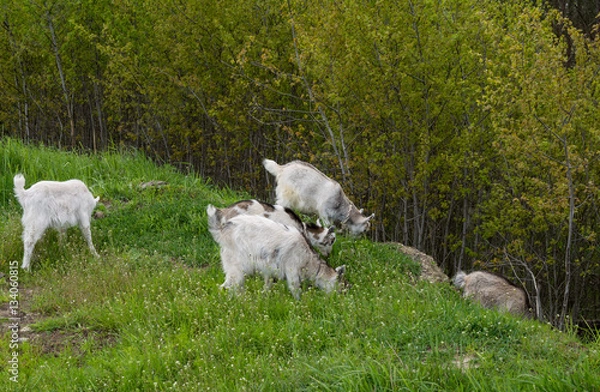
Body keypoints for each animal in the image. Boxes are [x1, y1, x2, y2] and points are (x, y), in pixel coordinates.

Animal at [207, 205, 344, 300]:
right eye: (342, 287)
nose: (338, 299)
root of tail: (222, 230)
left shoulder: (270, 268)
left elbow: (268, 284)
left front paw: (265, 296)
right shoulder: (292, 269)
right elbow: (295, 289)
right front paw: (299, 303)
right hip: (236, 266)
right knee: (229, 286)